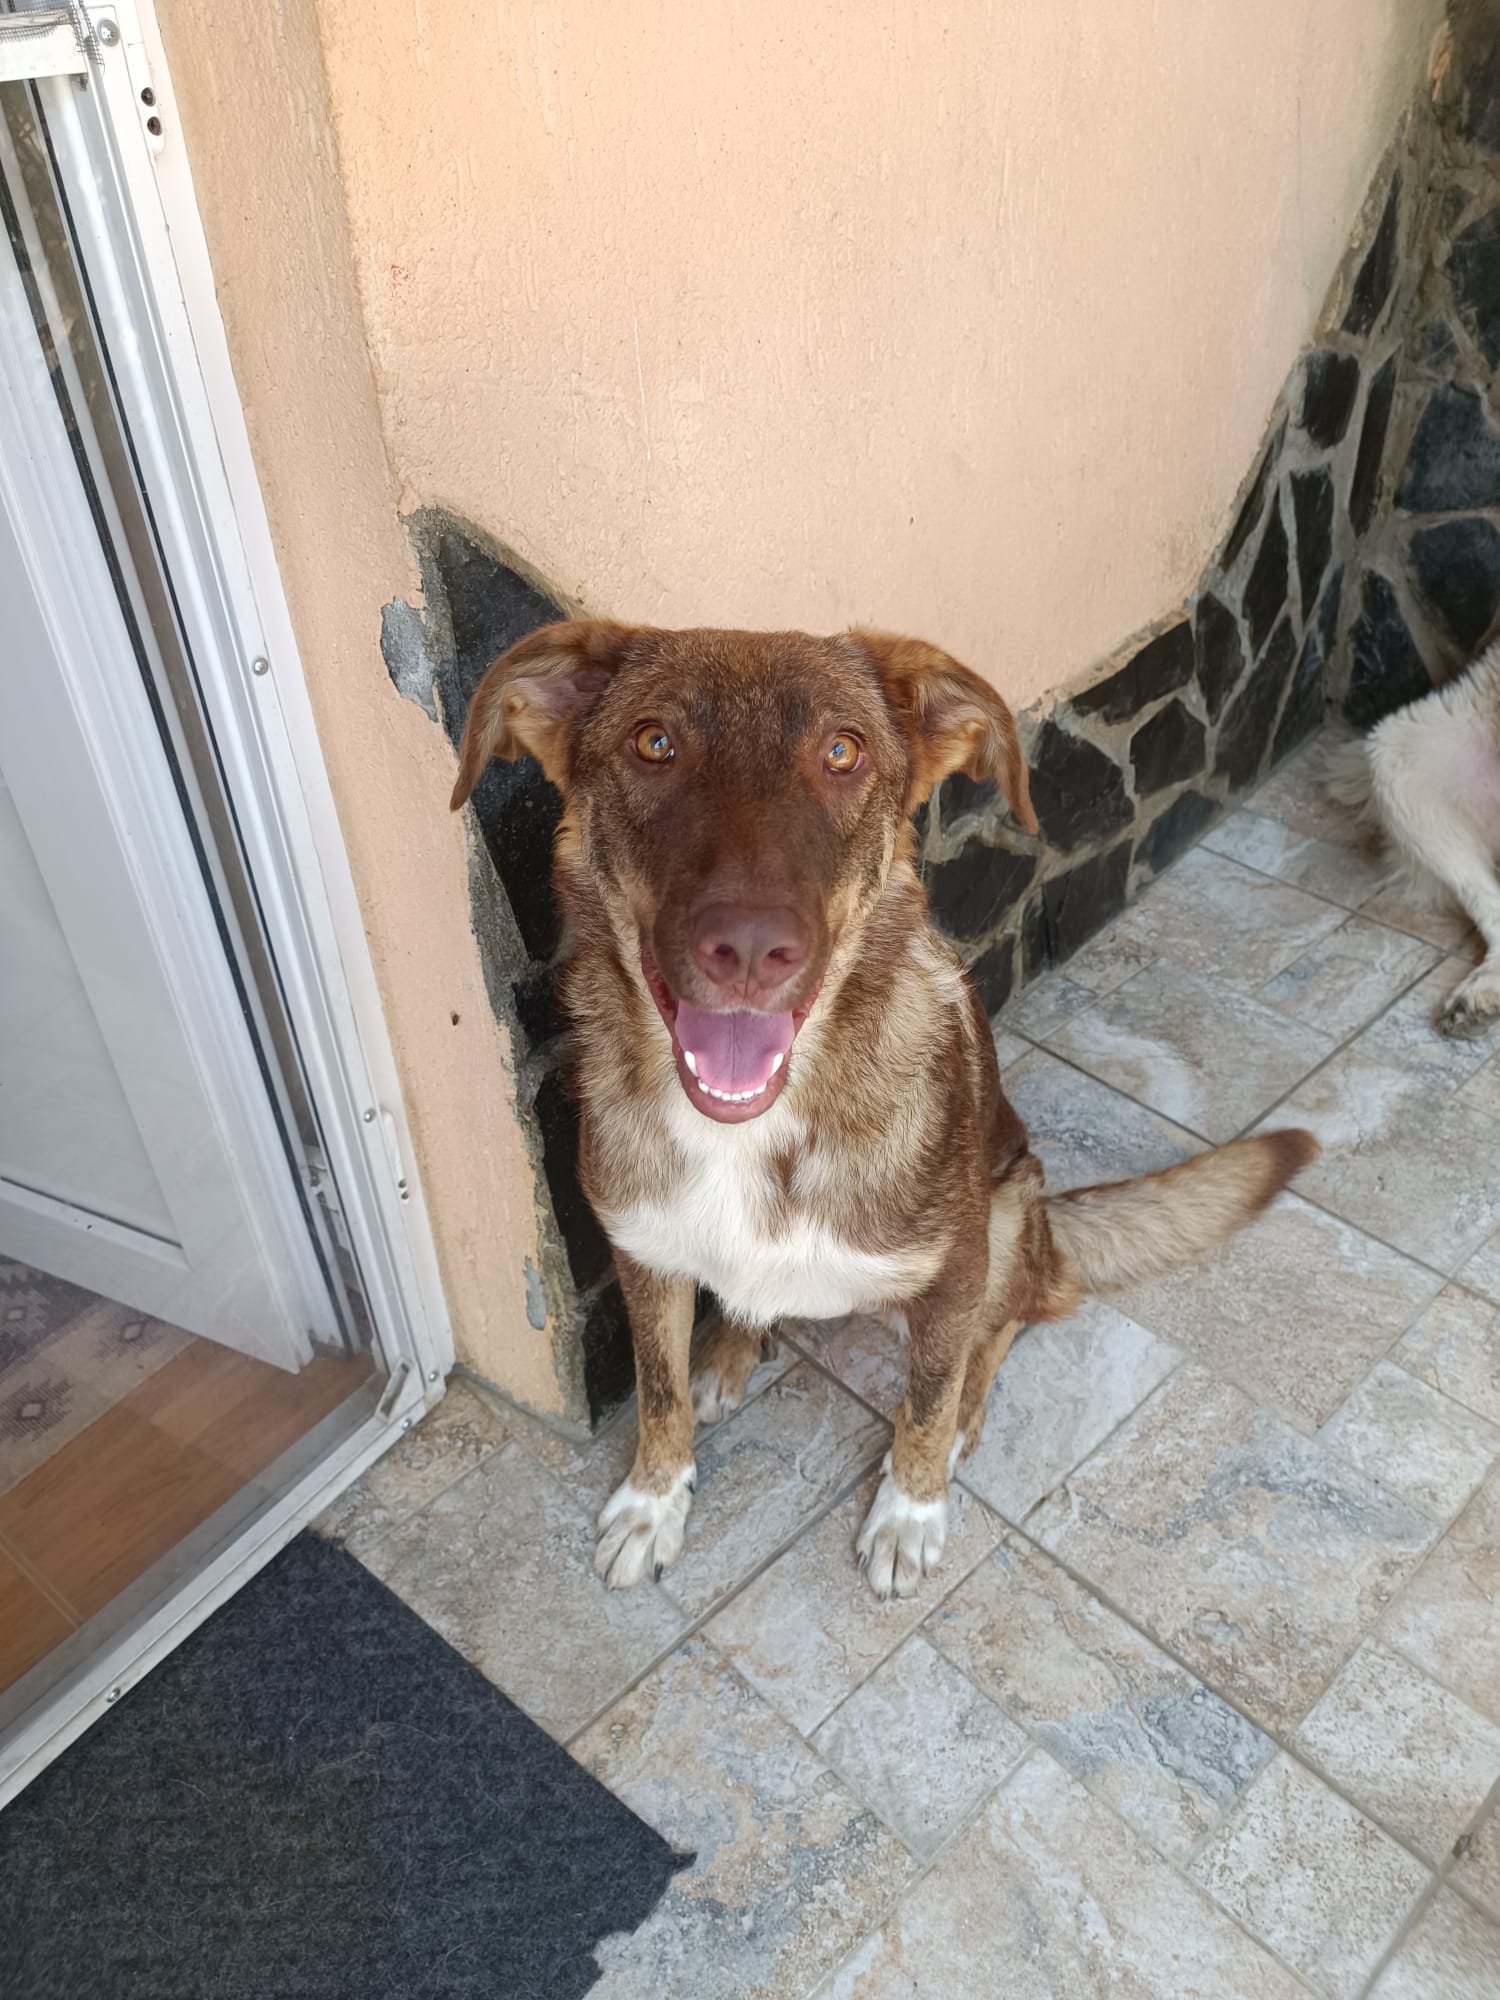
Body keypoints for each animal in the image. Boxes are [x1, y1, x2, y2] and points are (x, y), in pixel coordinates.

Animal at [451, 623, 1317, 1599]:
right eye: (653, 742)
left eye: (842, 751)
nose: (748, 947)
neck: (755, 1131)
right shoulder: (645, 1254)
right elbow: (658, 1390)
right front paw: (653, 1501)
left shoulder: (956, 1268)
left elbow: (927, 1399)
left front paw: (911, 1510)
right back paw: (729, 1349)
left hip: (1012, 1209)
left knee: (1015, 1317)